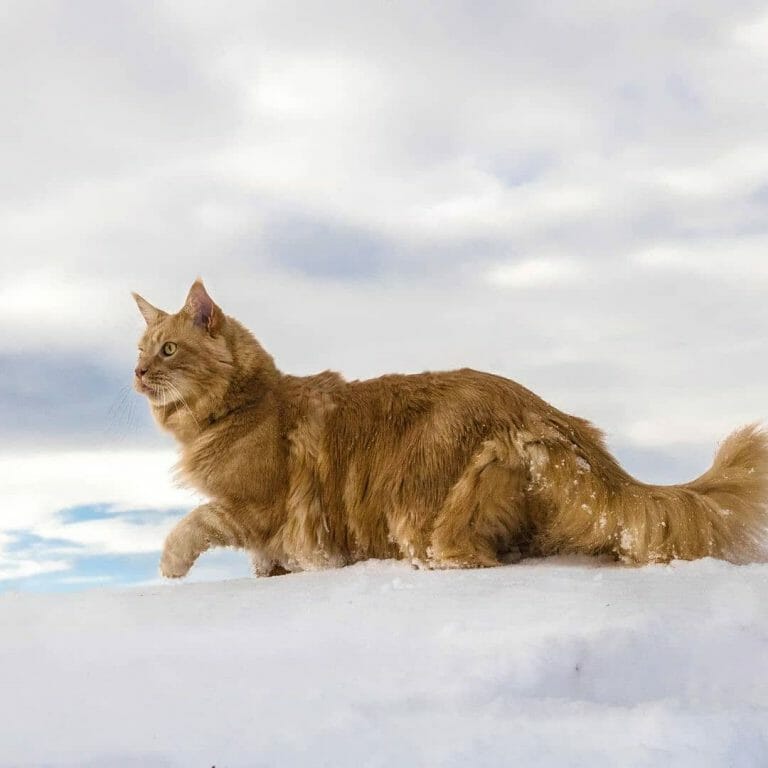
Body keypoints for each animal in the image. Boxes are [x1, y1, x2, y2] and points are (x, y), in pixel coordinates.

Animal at [132, 280, 768, 576]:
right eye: (139, 350)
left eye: (168, 350)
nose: (136, 374)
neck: (242, 406)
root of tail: (547, 411)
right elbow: (263, 560)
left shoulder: (256, 505)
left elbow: (196, 523)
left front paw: (169, 566)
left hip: (420, 498)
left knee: (467, 557)